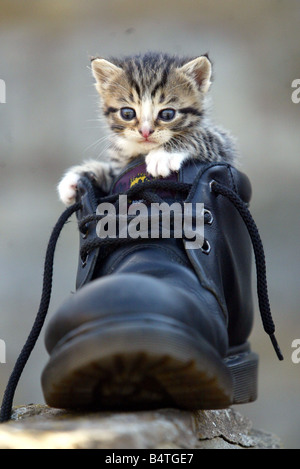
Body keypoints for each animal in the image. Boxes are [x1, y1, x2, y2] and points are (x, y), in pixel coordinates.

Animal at [58, 51, 237, 205]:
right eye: (127, 113)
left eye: (167, 114)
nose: (145, 132)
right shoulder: (118, 166)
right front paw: (76, 177)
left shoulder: (225, 147)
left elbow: (203, 136)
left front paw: (163, 155)